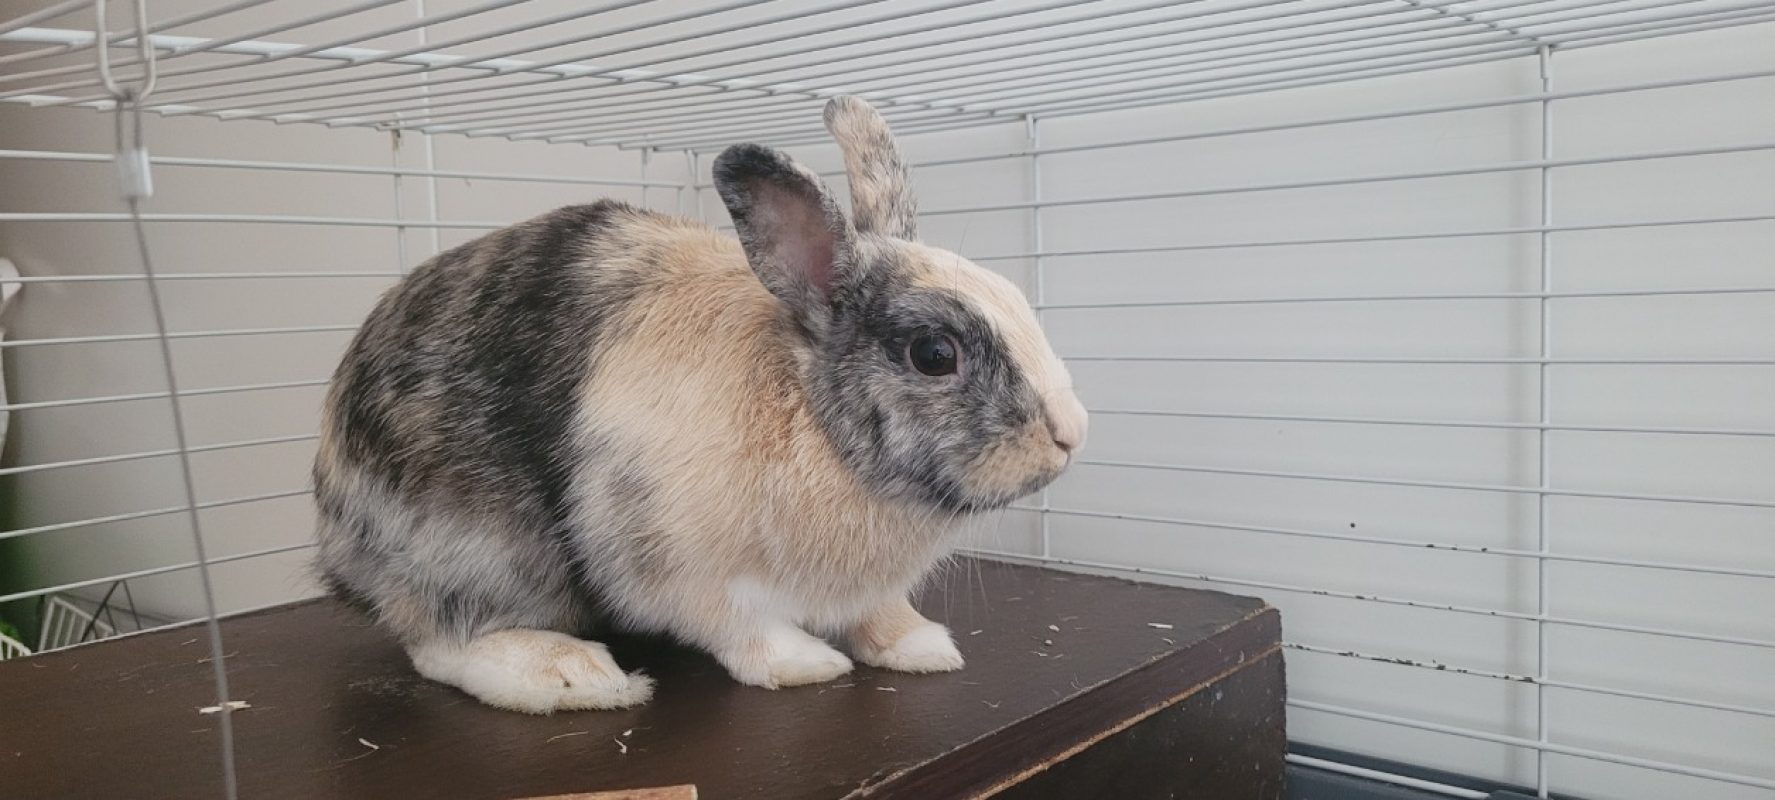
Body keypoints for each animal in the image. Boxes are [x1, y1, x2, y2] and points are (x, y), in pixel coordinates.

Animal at [312, 96, 1087, 714]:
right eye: (933, 353)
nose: (1071, 435)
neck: (807, 414)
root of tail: (338, 540)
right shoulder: (683, 568)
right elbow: (743, 627)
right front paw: (807, 666)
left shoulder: (865, 588)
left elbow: (881, 615)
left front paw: (923, 648)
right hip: (474, 549)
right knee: (438, 639)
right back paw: (574, 676)